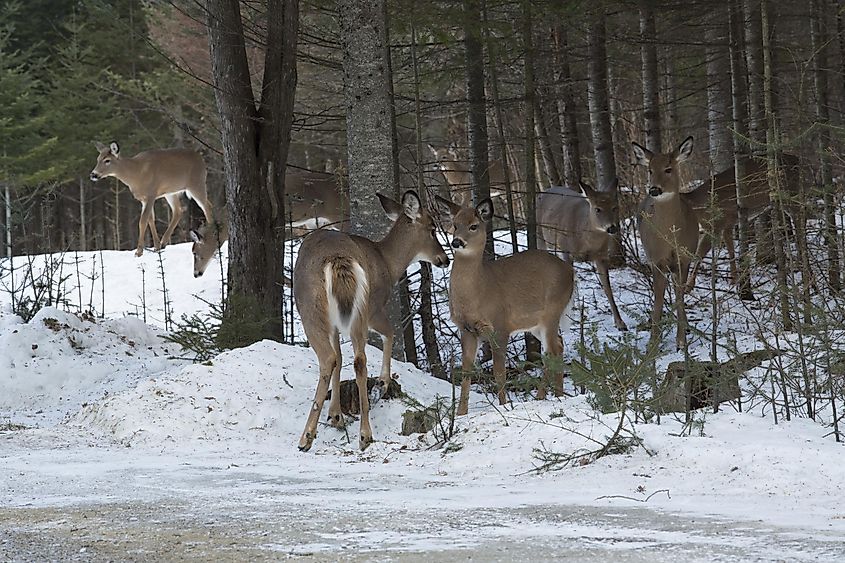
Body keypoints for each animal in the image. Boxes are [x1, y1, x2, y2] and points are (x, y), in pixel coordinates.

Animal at [295, 190, 449, 452]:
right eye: (432, 228)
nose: (445, 259)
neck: (387, 263)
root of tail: (338, 259)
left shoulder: (364, 312)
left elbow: (348, 354)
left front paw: (337, 413)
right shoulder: (369, 309)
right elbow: (375, 340)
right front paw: (340, 412)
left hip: (323, 310)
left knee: (337, 358)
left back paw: (320, 436)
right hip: (356, 308)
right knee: (351, 358)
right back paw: (352, 434)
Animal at [435, 196, 575, 416]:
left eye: (474, 226)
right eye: (455, 225)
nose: (456, 241)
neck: (478, 292)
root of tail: (570, 271)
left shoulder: (500, 325)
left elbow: (499, 371)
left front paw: (503, 405)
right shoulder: (467, 330)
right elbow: (466, 371)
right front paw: (460, 413)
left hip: (552, 310)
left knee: (551, 351)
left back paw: (544, 396)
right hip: (535, 323)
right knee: (558, 345)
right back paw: (556, 395)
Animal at [536, 178, 627, 331]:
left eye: (615, 207)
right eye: (597, 209)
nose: (611, 228)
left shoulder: (601, 256)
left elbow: (607, 288)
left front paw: (620, 323)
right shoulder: (566, 251)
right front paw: (572, 315)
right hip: (541, 237)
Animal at [631, 137, 700, 350]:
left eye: (668, 169)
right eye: (650, 170)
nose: (654, 189)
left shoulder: (683, 259)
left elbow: (678, 297)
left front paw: (681, 342)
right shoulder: (656, 260)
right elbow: (658, 299)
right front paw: (653, 343)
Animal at [681, 153, 801, 292]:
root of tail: (797, 159)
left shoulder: (716, 225)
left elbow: (699, 254)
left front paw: (688, 286)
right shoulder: (727, 224)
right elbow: (731, 250)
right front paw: (734, 280)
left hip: (790, 193)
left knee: (800, 218)